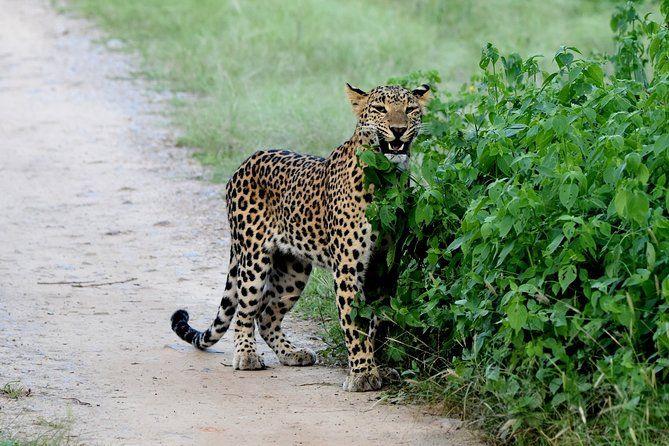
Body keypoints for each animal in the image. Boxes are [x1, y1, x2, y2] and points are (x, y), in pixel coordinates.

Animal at [171, 83, 430, 391]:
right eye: (380, 109)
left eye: (410, 109)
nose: (398, 129)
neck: (387, 178)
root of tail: (246, 160)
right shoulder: (348, 268)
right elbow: (354, 324)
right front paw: (363, 374)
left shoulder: (384, 267)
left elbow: (375, 322)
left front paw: (377, 367)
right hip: (253, 257)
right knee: (246, 310)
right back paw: (246, 355)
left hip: (293, 269)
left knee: (267, 315)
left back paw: (291, 353)